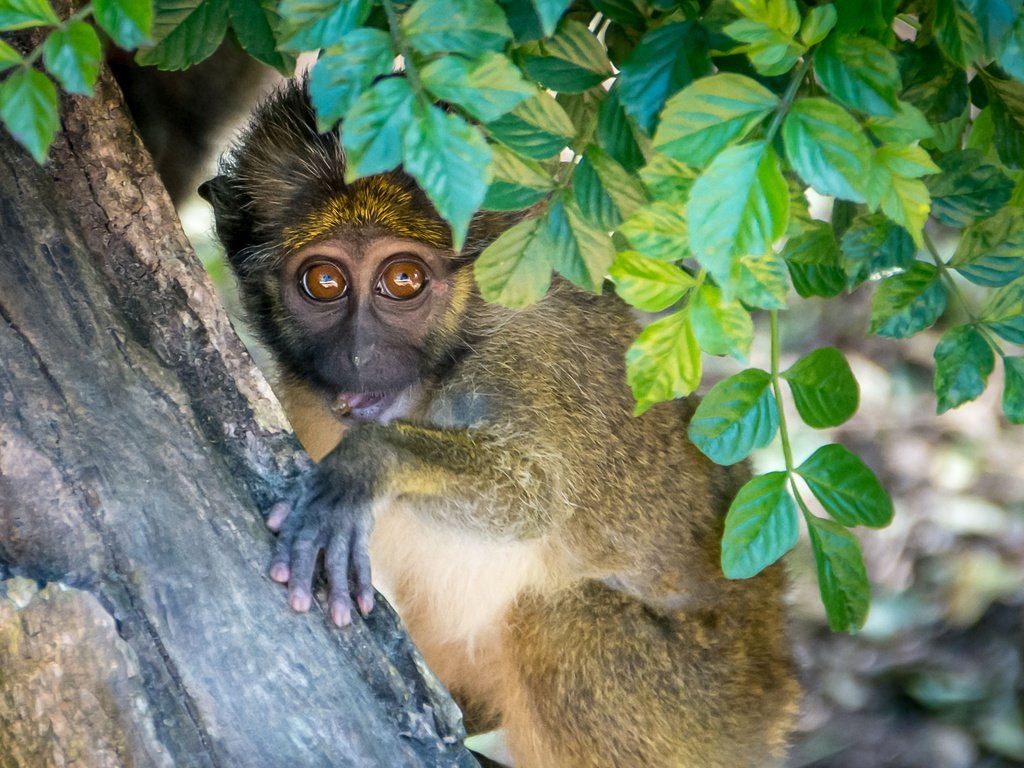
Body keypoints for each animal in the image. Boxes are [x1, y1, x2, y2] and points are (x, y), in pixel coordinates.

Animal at [197, 82, 798, 768]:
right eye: (324, 281)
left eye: (403, 280)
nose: (360, 355)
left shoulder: (529, 362)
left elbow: (534, 496)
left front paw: (371, 463)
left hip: (701, 708)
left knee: (562, 619)